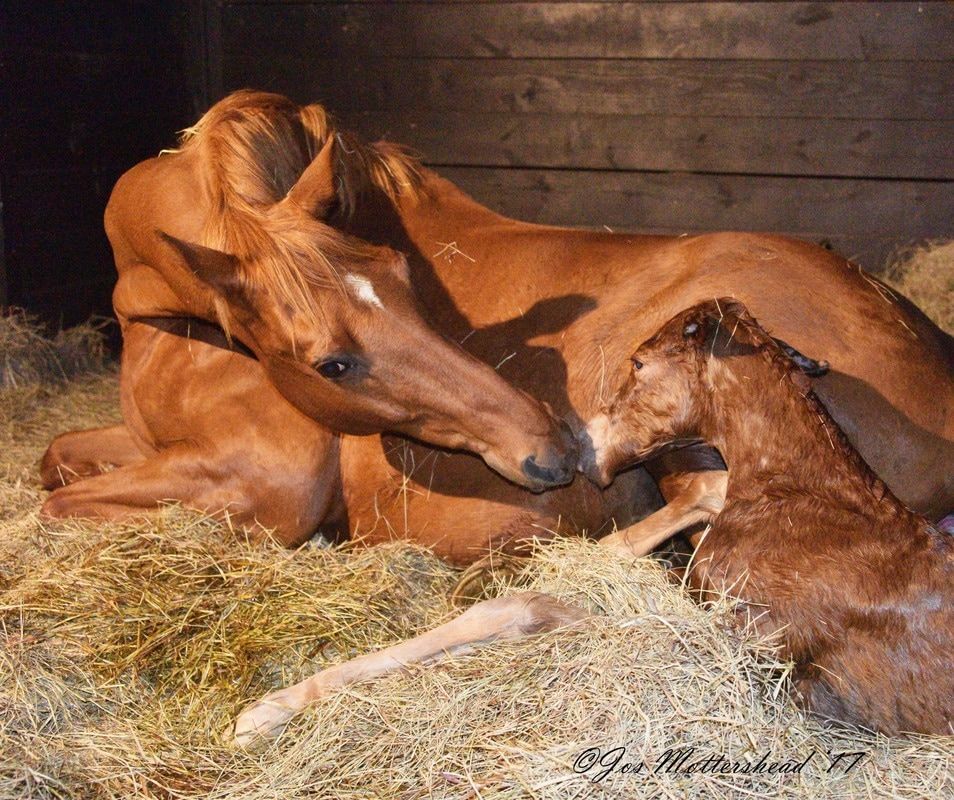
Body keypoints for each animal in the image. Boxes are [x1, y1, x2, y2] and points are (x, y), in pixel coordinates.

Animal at [39, 92, 577, 543]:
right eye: (332, 366)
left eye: (403, 271)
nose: (554, 447)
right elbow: (56, 460)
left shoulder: (279, 483)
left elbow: (57, 503)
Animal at [234, 300, 951, 743]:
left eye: (639, 362)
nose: (580, 445)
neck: (803, 494)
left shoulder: (749, 655)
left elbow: (531, 608)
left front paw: (262, 714)